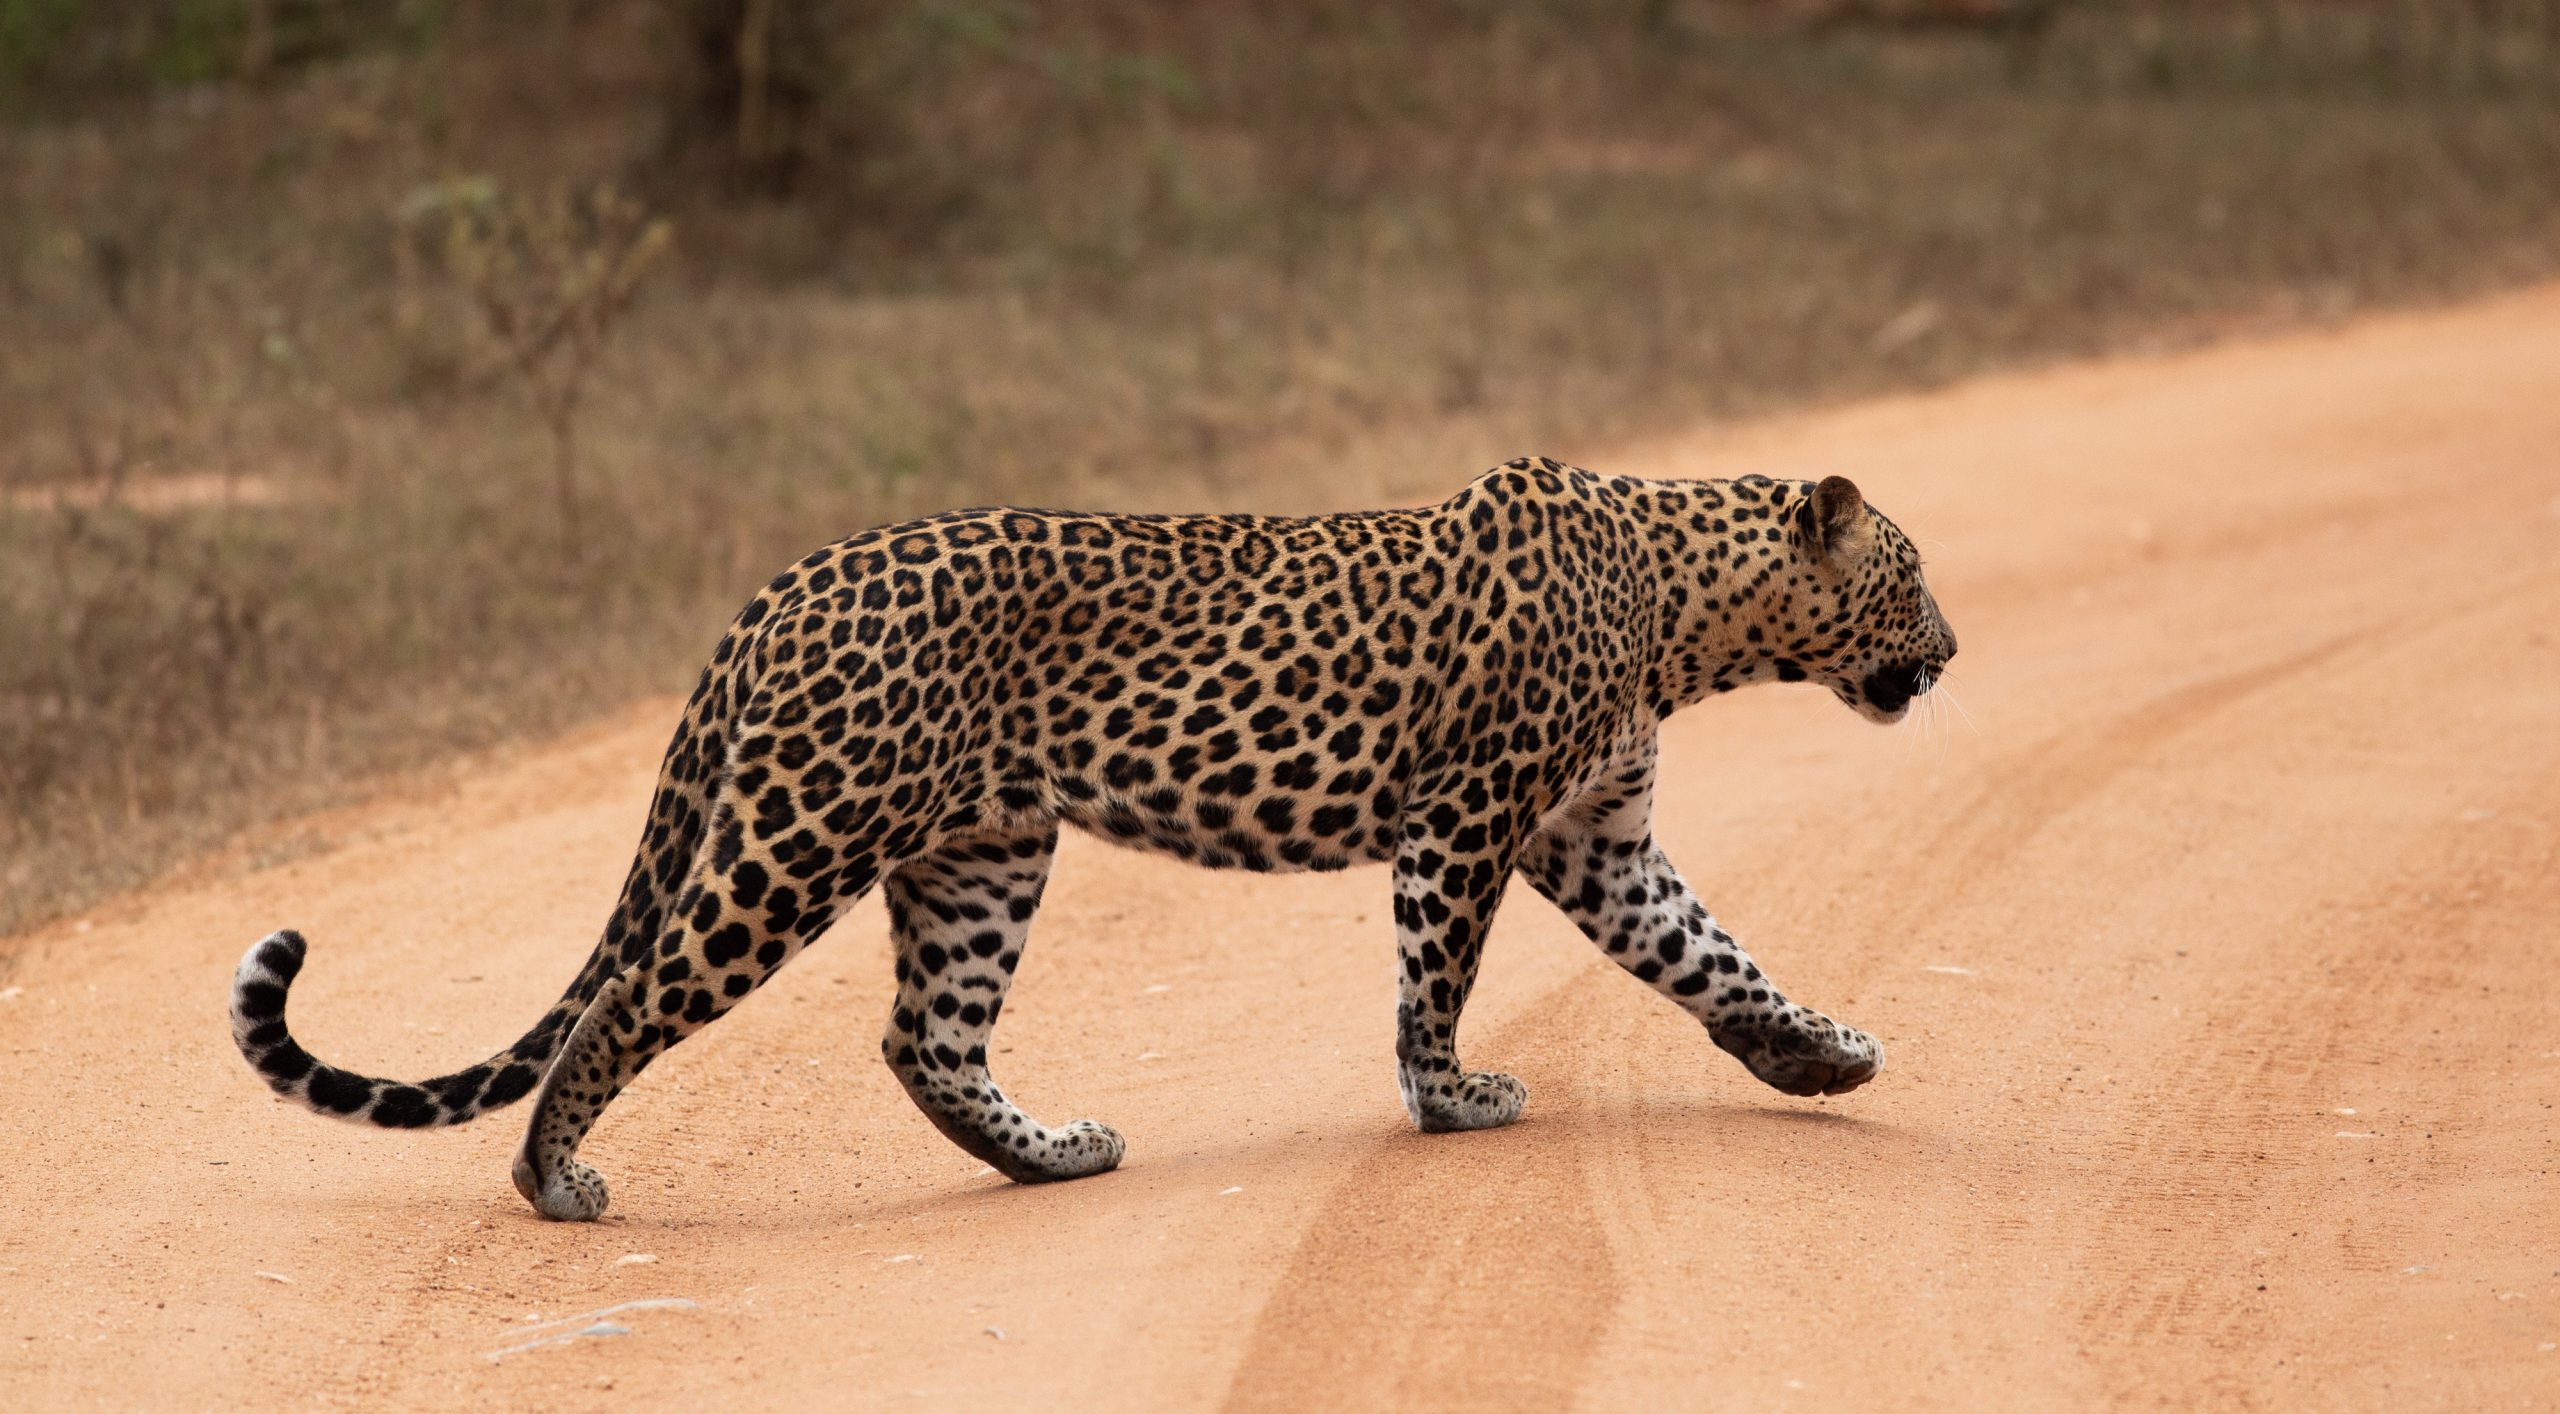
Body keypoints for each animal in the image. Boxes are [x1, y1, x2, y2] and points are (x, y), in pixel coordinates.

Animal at [235, 458, 1955, 1219]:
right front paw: (1453, 1099)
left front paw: (1820, 1057)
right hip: (795, 836)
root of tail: (779, 589)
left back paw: (1051, 1152)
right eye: (1915, 572)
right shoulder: (1470, 814)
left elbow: (1716, 956)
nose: (1948, 652)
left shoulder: (1596, 835)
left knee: (925, 1037)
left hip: (984, 849)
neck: (1689, 608)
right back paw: (552, 1177)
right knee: (626, 996)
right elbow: (1437, 977)